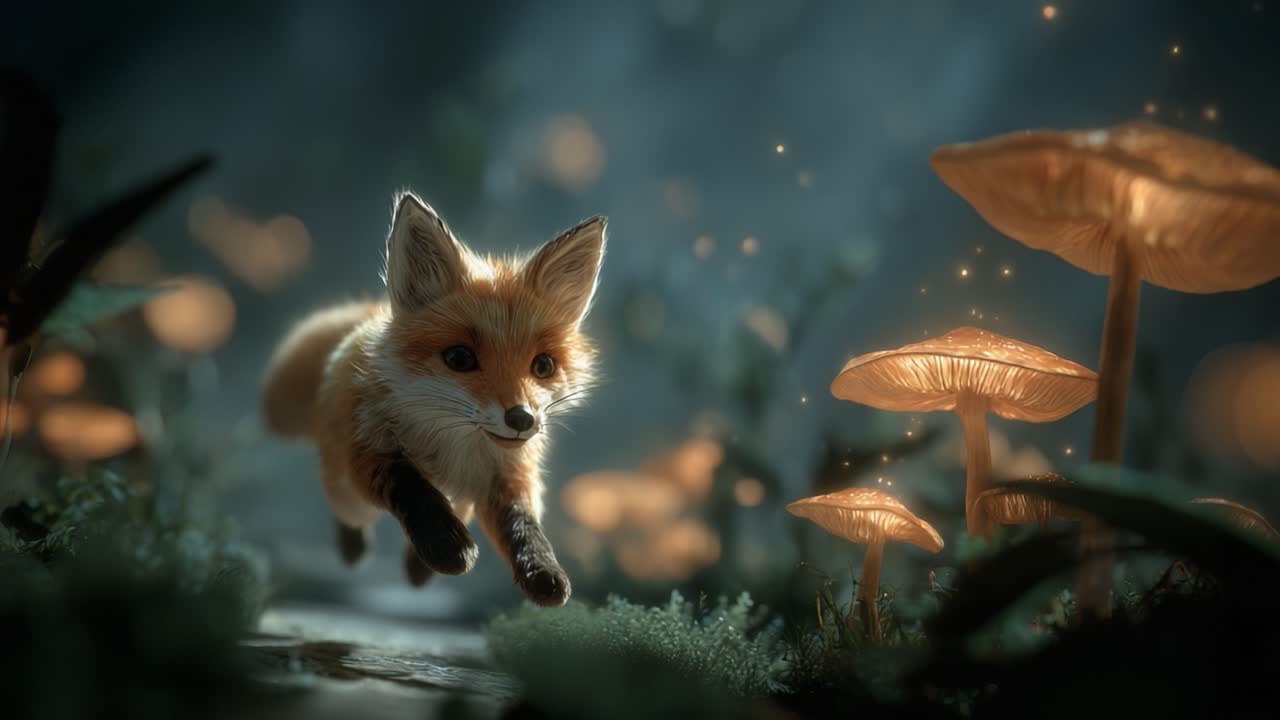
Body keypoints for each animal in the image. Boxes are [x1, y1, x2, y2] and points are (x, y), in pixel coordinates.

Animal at [260, 191, 605, 607]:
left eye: (543, 365)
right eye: (459, 358)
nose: (522, 419)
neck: (453, 446)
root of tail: (374, 314)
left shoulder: (508, 476)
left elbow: (523, 526)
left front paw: (541, 571)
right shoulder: (370, 450)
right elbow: (414, 490)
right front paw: (446, 546)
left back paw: (418, 569)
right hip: (348, 494)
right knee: (348, 512)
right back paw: (355, 548)